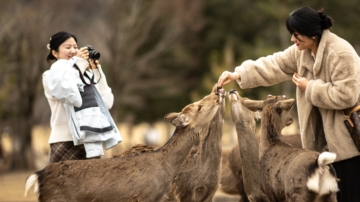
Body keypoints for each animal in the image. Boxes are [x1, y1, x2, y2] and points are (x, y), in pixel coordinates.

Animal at [23, 85, 224, 202]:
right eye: (199, 106)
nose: (217, 93)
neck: (166, 167)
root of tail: (38, 176)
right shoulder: (146, 196)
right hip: (56, 199)